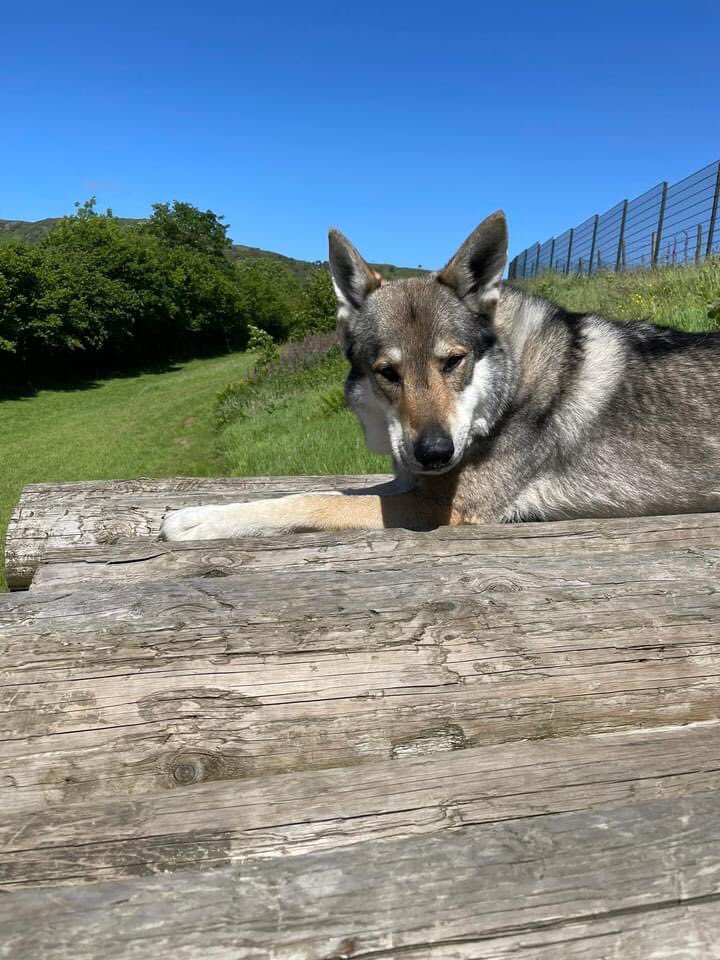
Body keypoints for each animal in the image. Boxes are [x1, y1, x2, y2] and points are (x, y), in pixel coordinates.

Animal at [160, 211, 720, 541]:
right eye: (388, 373)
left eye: (453, 362)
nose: (435, 452)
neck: (512, 391)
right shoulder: (412, 483)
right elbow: (345, 489)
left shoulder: (441, 509)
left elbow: (316, 499)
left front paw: (198, 519)